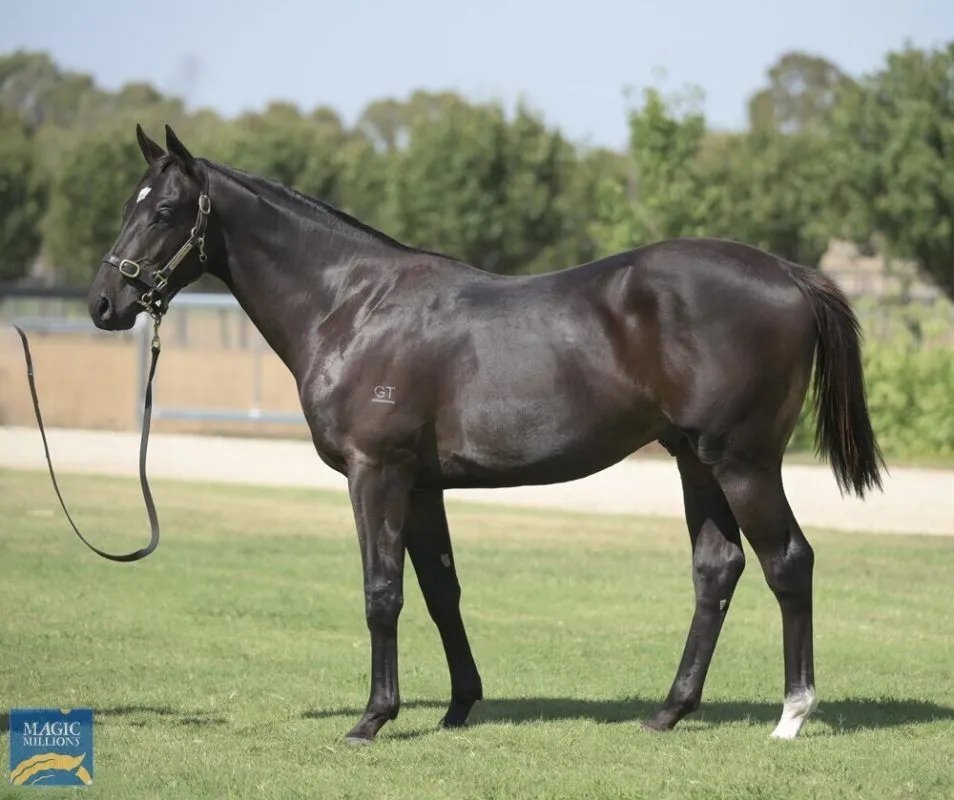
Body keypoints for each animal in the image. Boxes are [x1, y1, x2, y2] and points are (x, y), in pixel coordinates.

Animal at [87, 124, 883, 744]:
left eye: (165, 209)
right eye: (128, 204)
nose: (105, 302)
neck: (354, 304)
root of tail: (786, 273)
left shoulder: (376, 473)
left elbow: (382, 591)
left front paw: (372, 719)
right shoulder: (421, 486)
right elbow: (441, 589)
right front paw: (458, 706)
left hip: (743, 461)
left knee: (788, 561)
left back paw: (792, 715)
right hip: (695, 461)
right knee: (717, 569)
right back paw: (669, 711)